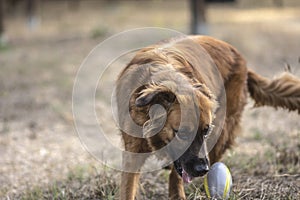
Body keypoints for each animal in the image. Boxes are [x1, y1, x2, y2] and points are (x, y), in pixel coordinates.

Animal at [115, 35, 300, 199]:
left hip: (221, 132)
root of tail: (241, 59)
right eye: (183, 133)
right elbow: (128, 188)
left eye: (205, 131)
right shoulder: (132, 153)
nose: (202, 169)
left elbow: (177, 175)